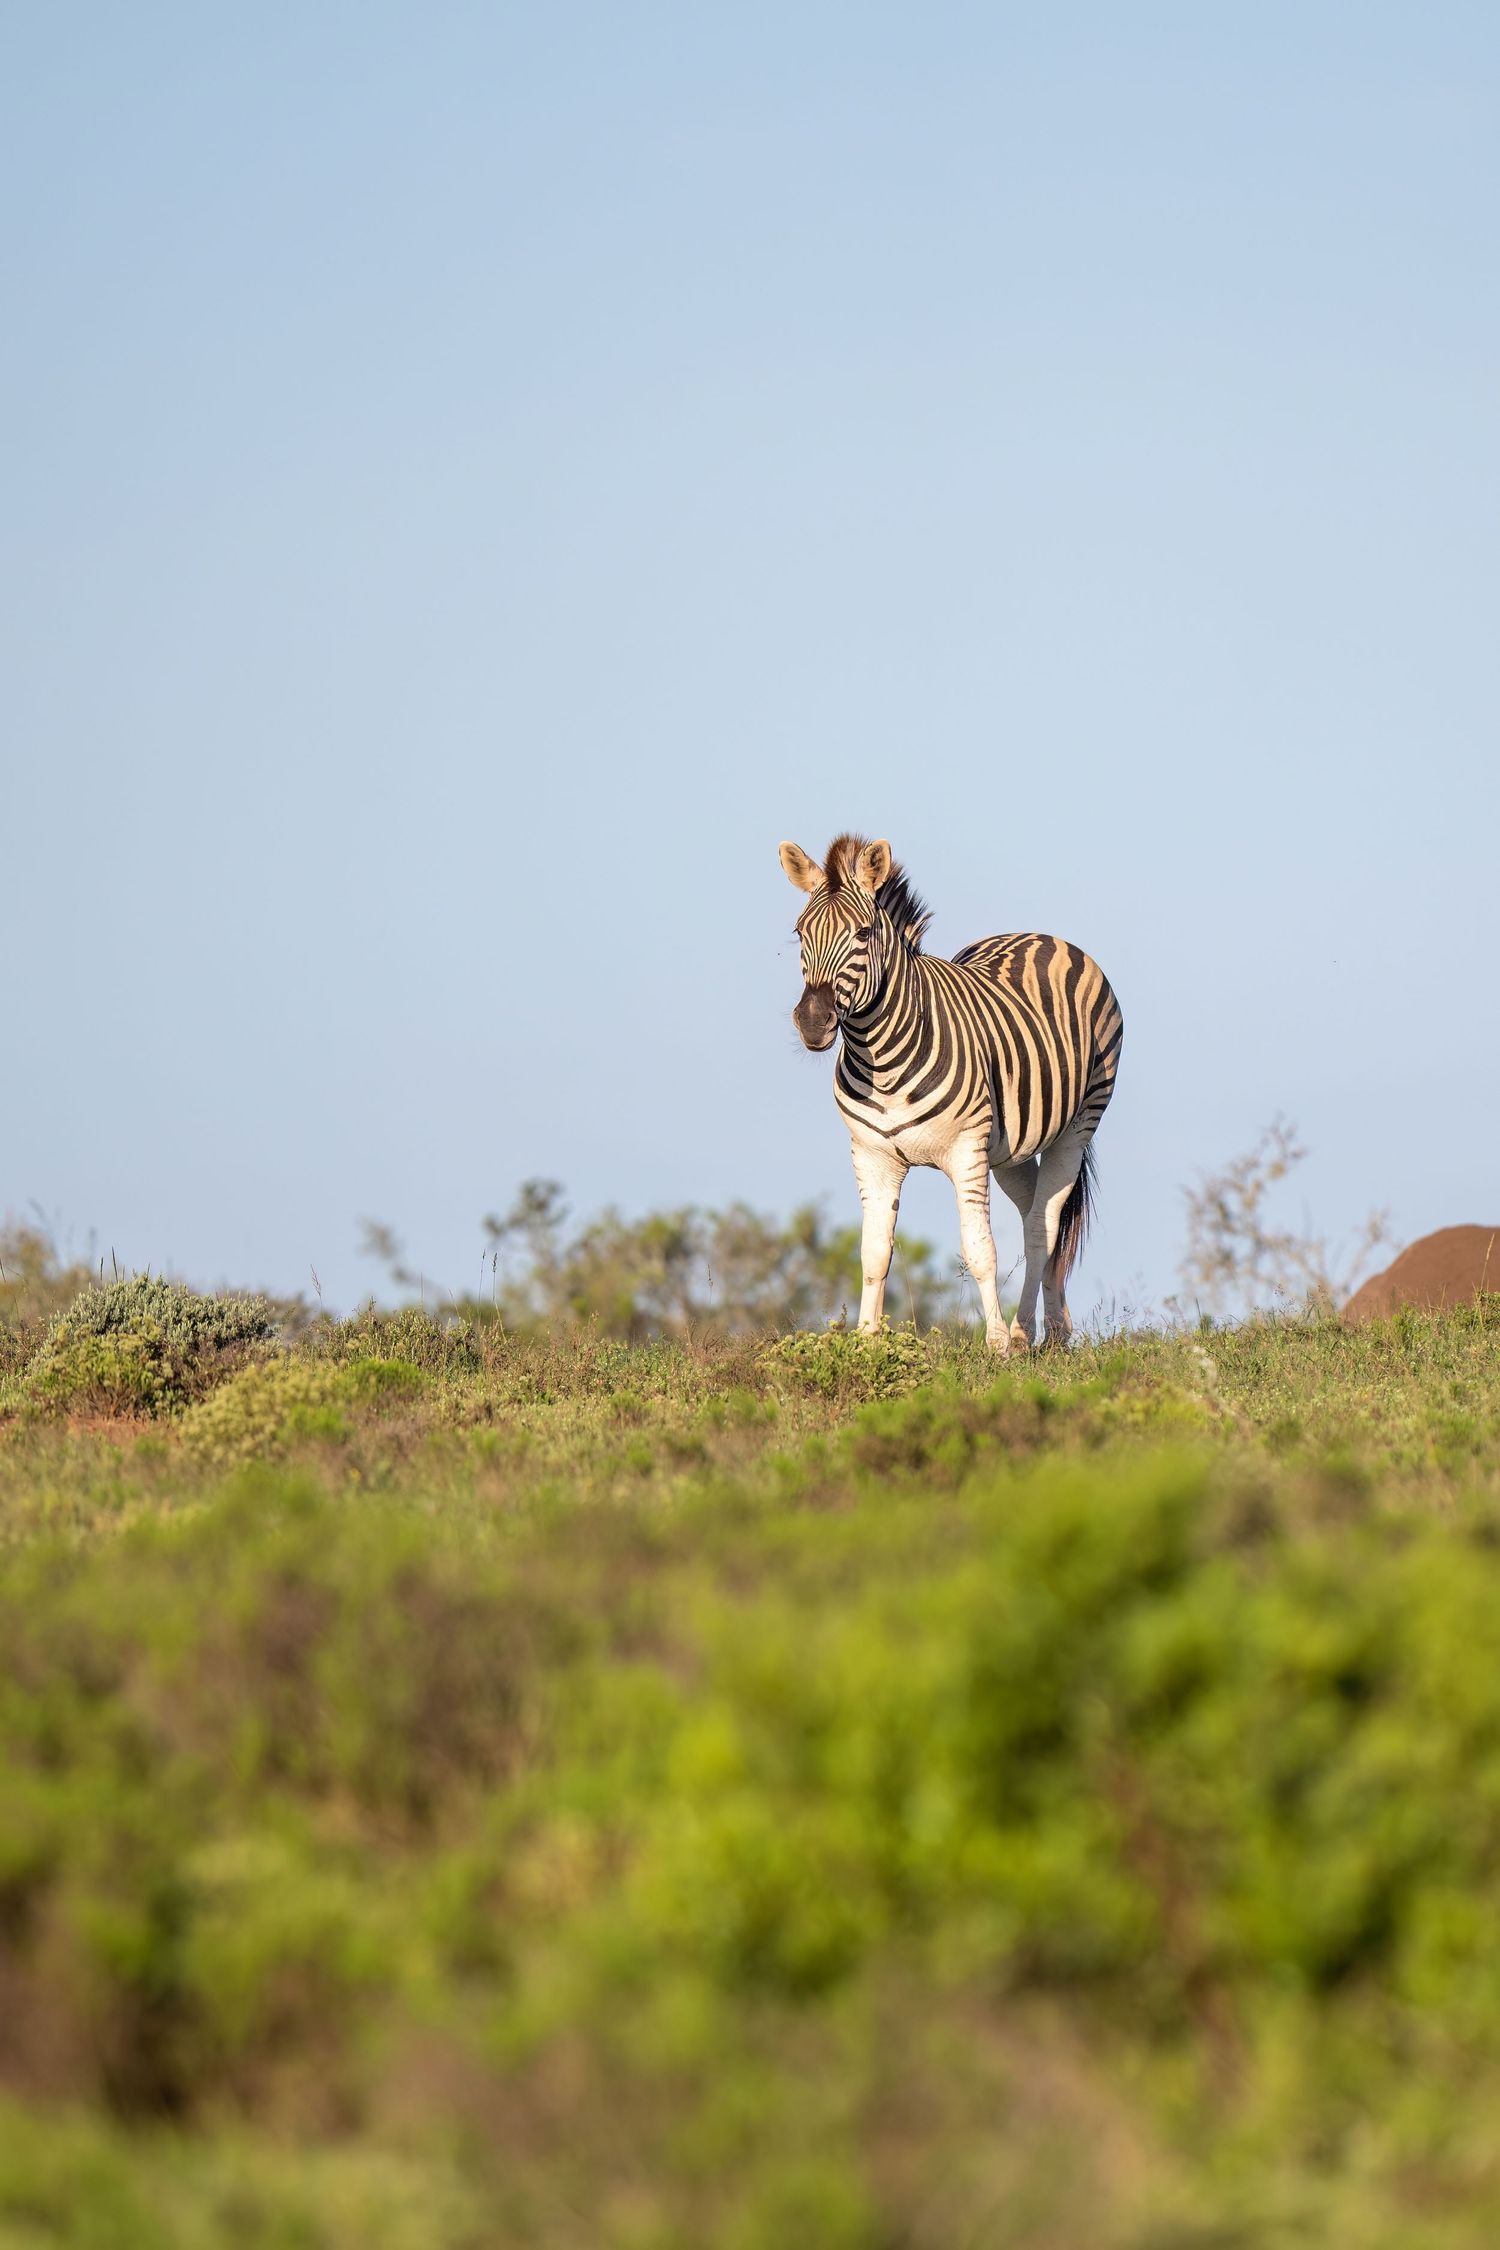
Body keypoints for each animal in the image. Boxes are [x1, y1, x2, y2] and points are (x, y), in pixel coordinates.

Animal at [780, 833, 1123, 1352]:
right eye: (801, 934)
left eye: (863, 934)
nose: (813, 1022)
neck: (882, 1058)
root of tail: (1040, 936)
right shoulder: (871, 1154)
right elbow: (874, 1251)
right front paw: (867, 1342)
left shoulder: (965, 1150)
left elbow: (980, 1250)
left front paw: (996, 1344)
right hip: (1008, 1149)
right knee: (1034, 1214)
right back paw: (1050, 1329)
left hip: (1078, 1123)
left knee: (1044, 1224)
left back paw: (1027, 1333)